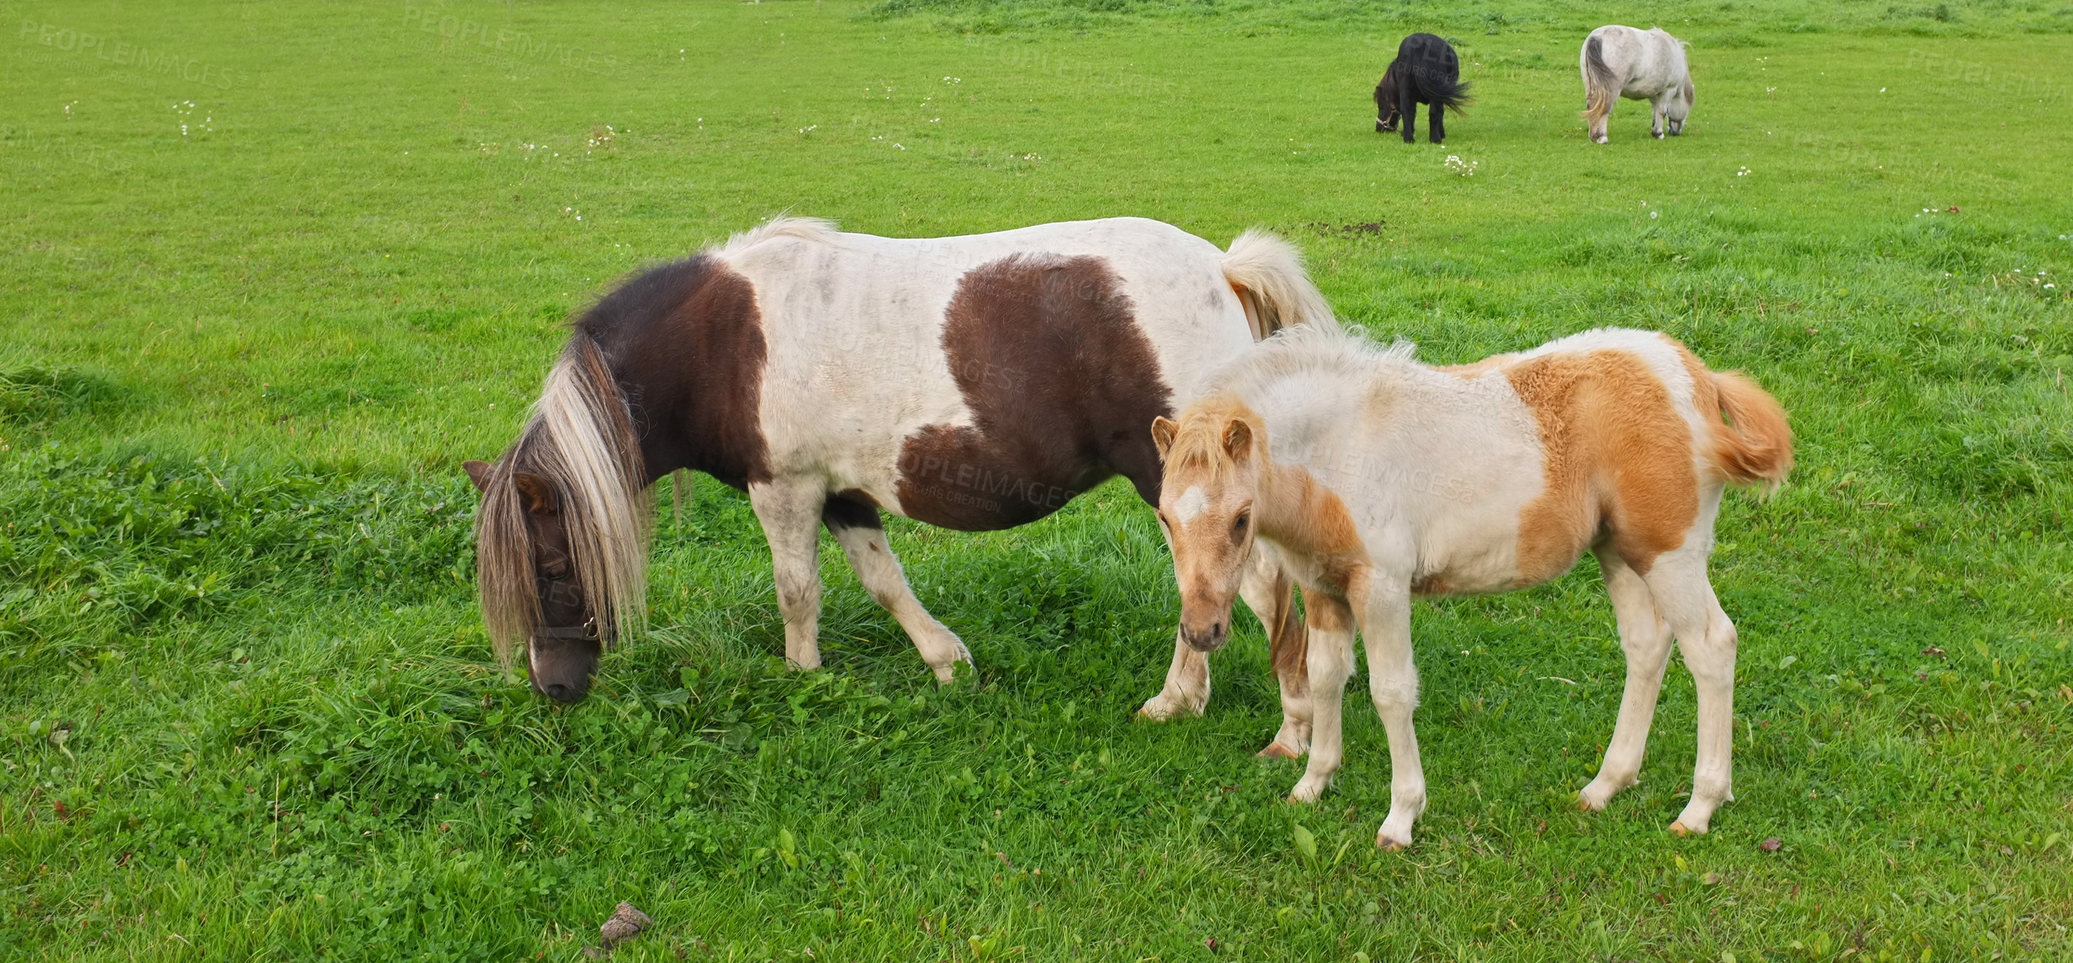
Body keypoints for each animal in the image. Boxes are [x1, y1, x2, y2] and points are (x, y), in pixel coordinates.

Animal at [462, 217, 1335, 741]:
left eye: (551, 566)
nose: (553, 687)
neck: (719, 341)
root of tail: (1223, 270)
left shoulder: (784, 488)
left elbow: (797, 591)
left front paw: (803, 677)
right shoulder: (842, 494)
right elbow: (882, 581)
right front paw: (946, 662)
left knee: (1249, 589)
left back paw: (1219, 708)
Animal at [1152, 327, 1799, 844]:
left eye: (1241, 519)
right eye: (1164, 517)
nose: (1202, 631)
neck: (1337, 450)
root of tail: (1698, 376)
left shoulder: (1382, 588)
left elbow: (1391, 692)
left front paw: (1401, 818)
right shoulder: (1324, 588)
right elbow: (1326, 678)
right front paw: (1313, 783)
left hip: (1671, 555)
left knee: (1711, 646)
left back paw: (1700, 807)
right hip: (1619, 552)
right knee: (1646, 646)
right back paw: (1605, 786)